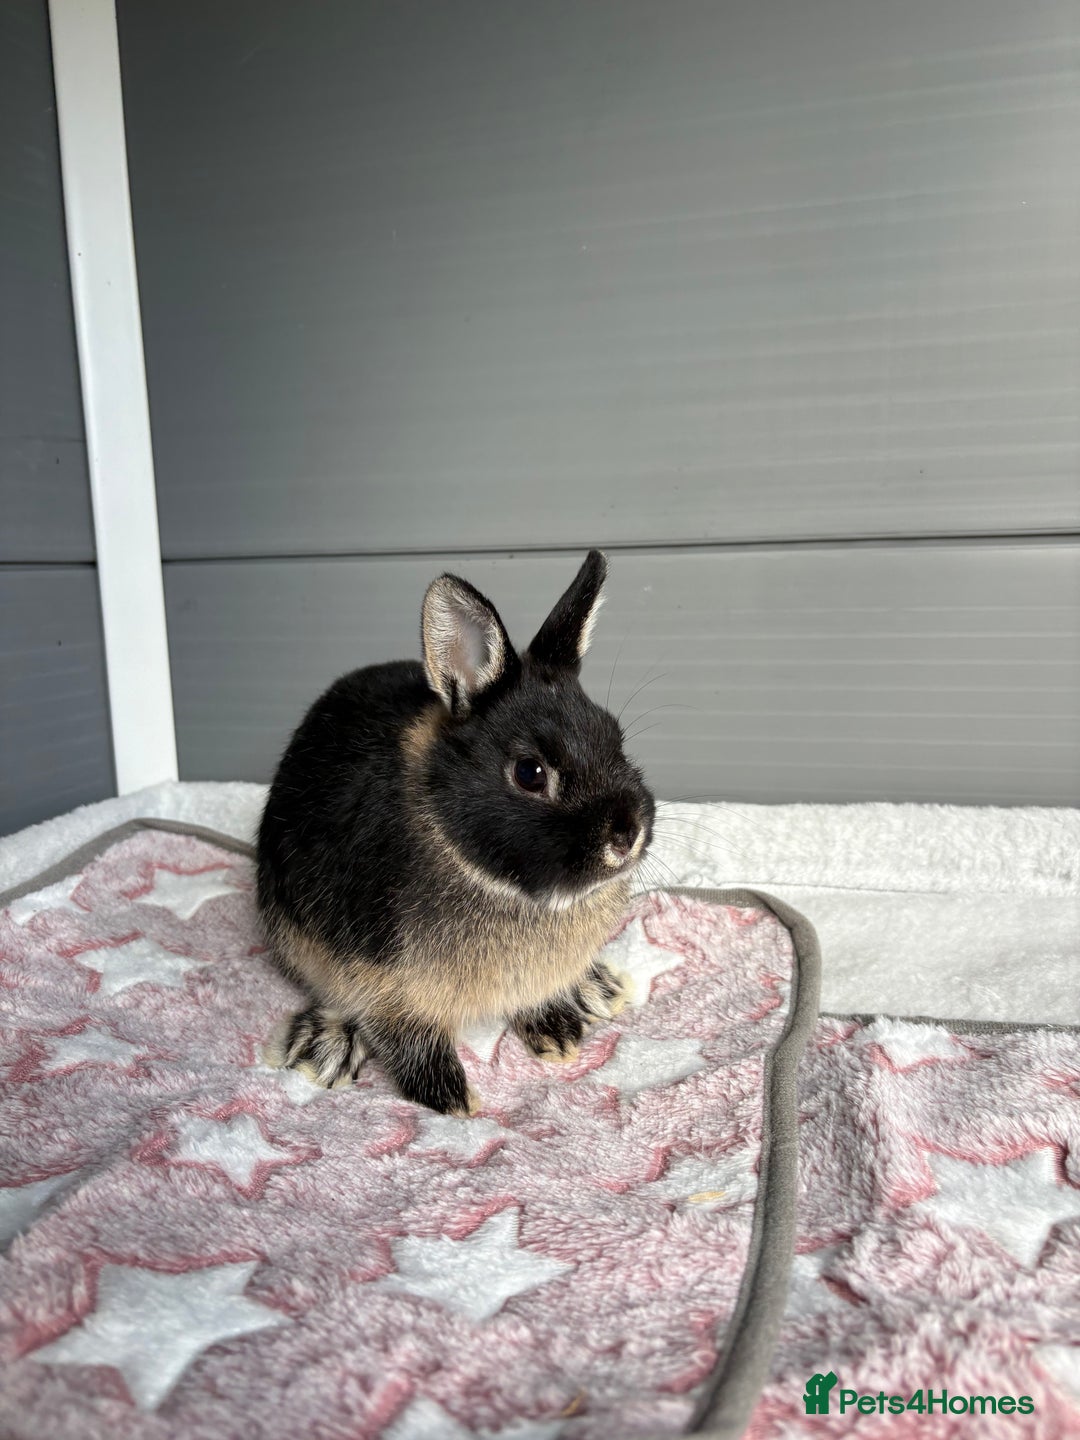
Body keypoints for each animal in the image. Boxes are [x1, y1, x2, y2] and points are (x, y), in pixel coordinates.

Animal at [255, 549, 655, 1115]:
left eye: (615, 738)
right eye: (530, 772)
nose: (628, 834)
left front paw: (558, 1032)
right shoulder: (378, 978)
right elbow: (403, 1033)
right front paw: (449, 1097)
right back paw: (326, 1046)